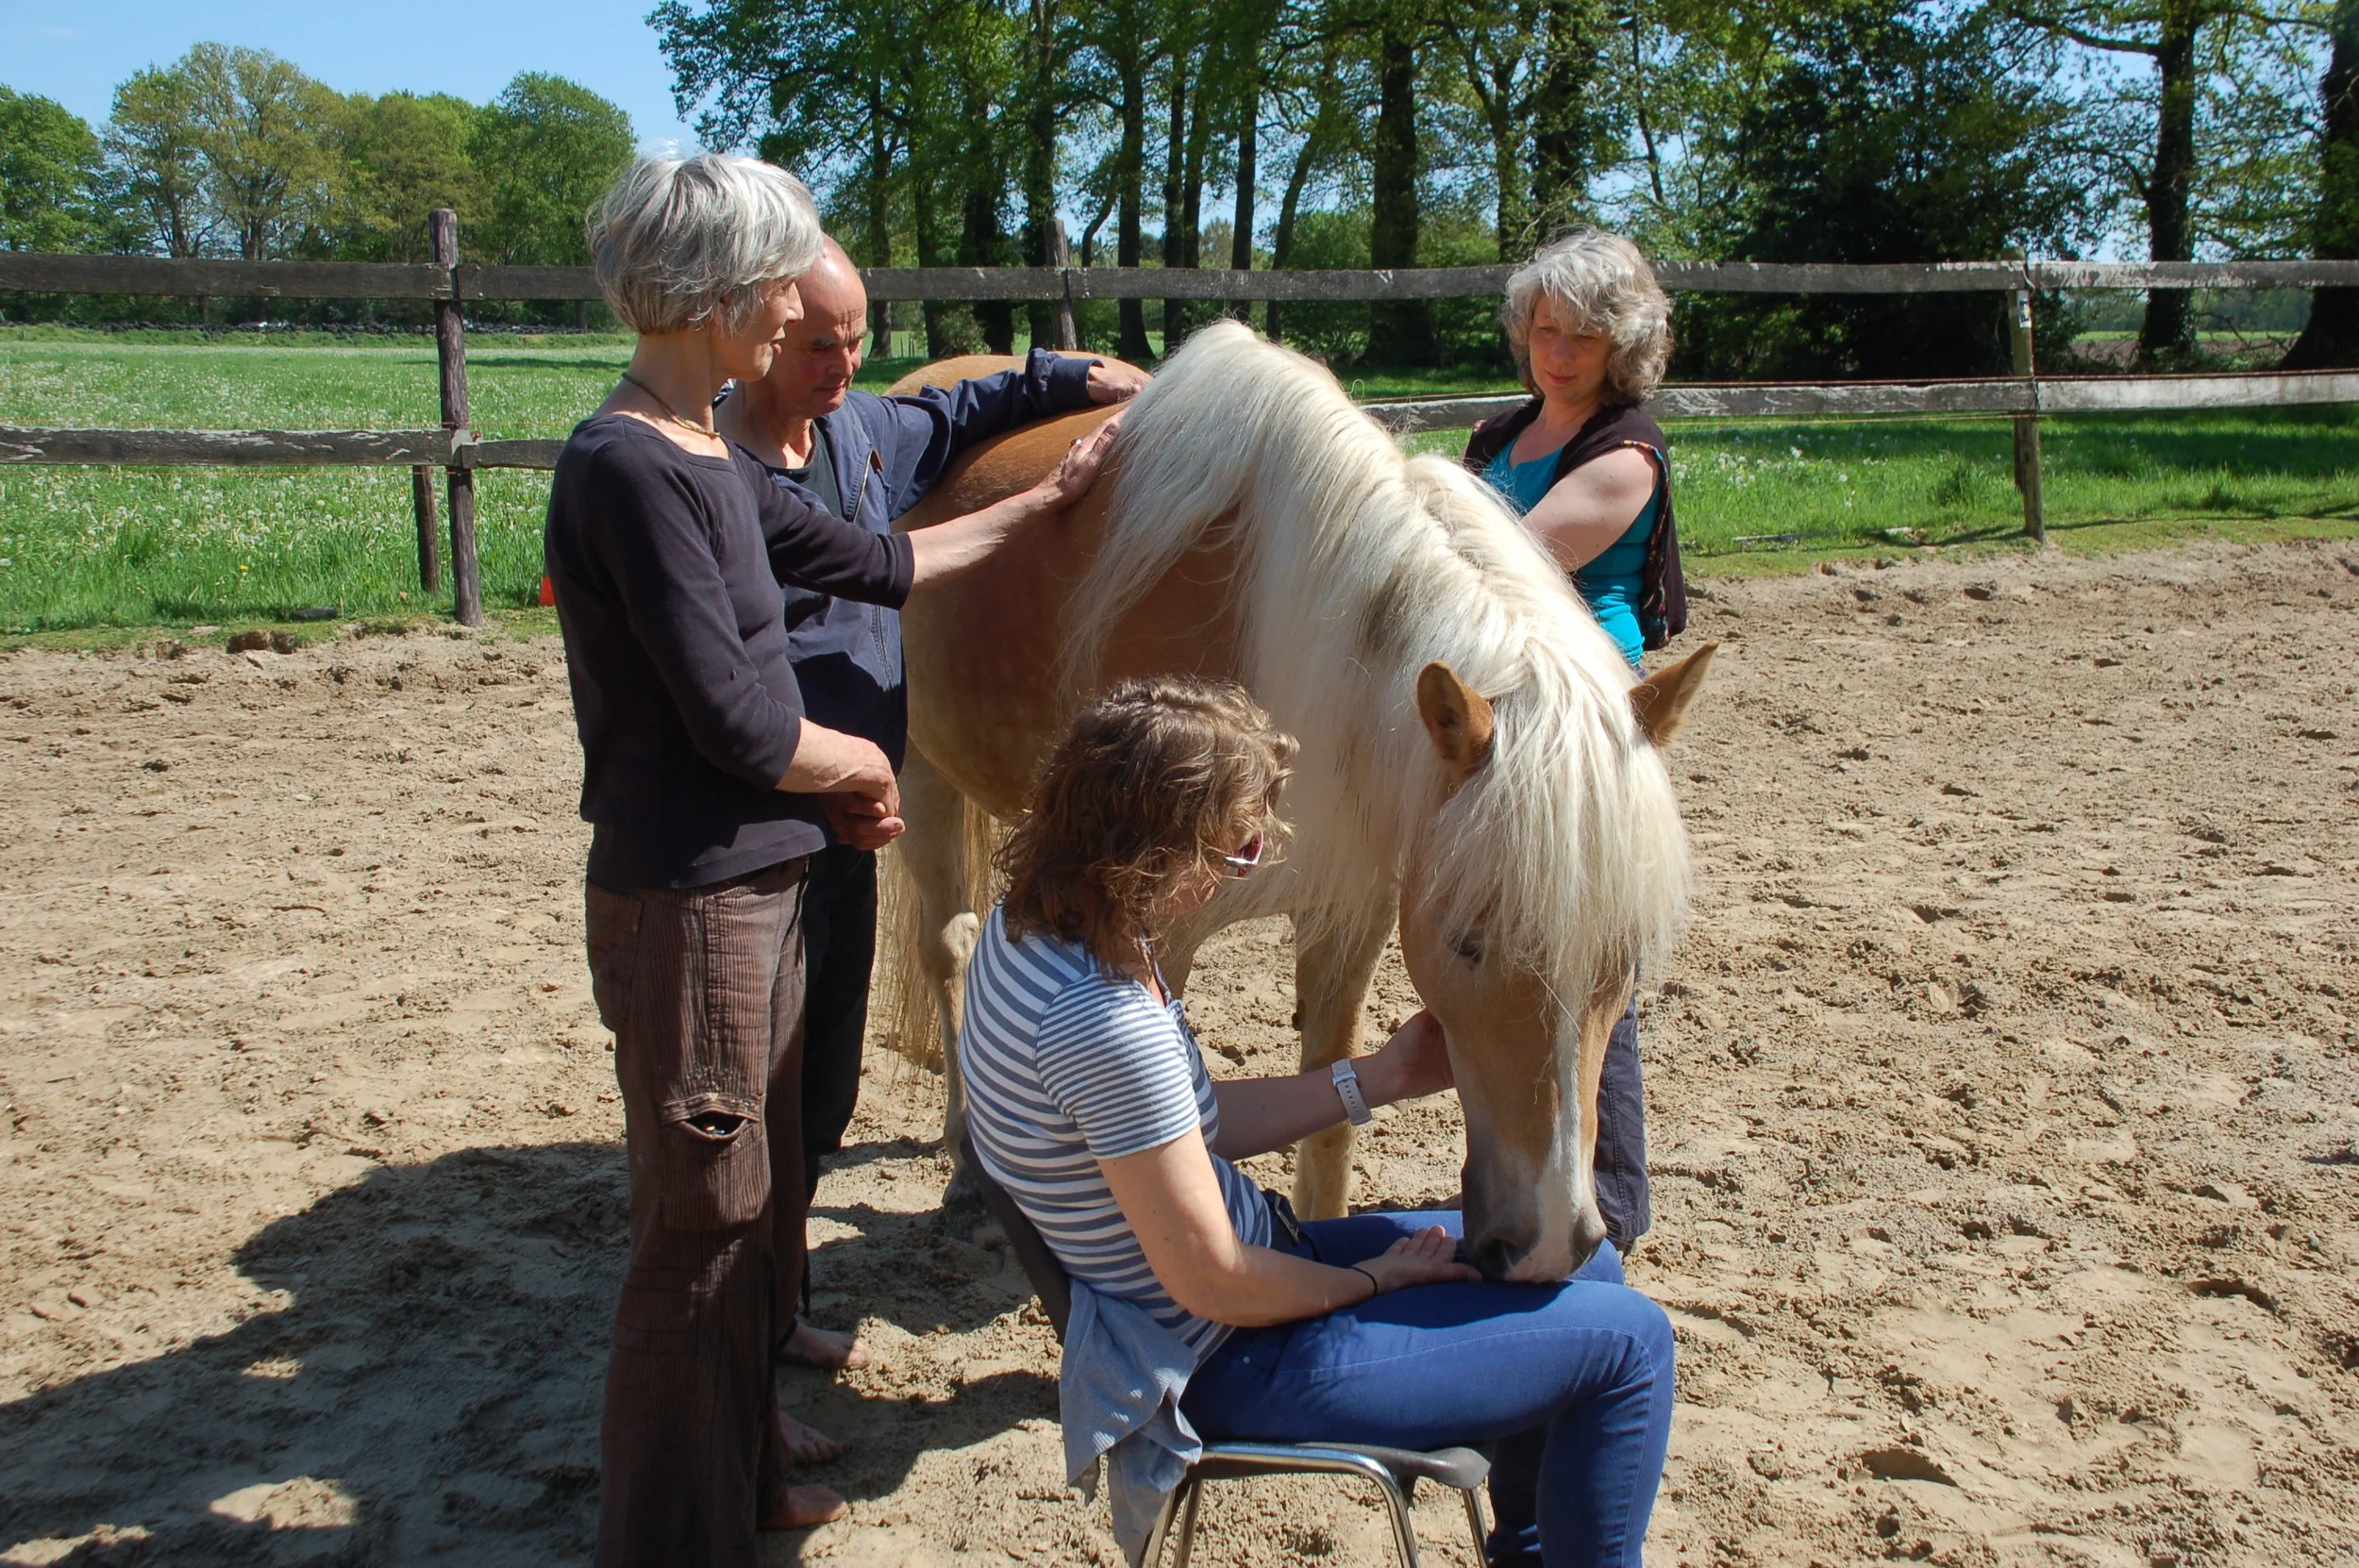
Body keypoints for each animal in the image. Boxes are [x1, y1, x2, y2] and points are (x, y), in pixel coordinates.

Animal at [884, 322, 1712, 1281]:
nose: (1548, 1246)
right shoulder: (1154, 934)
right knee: (948, 946)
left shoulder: (1349, 916)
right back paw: (963, 1166)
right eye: (1469, 943)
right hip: (921, 772)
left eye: (1630, 957)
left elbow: (1329, 1110)